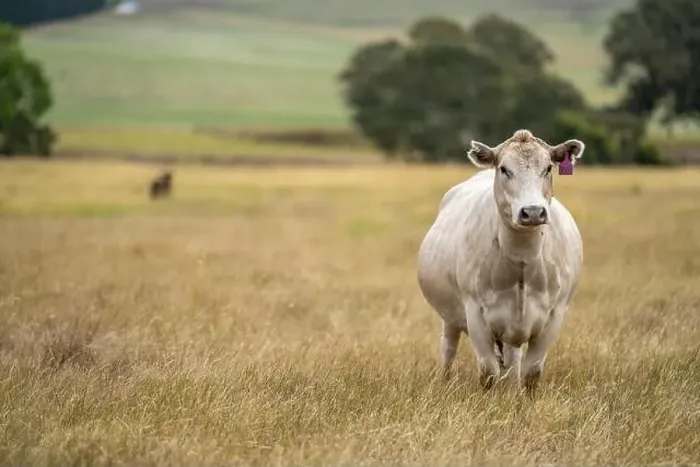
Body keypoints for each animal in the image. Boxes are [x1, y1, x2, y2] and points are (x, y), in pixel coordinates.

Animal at [416, 129, 585, 391]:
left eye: (548, 167)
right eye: (504, 169)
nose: (533, 212)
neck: (522, 261)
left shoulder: (554, 315)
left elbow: (531, 372)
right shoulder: (475, 312)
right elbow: (488, 372)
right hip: (450, 315)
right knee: (448, 348)